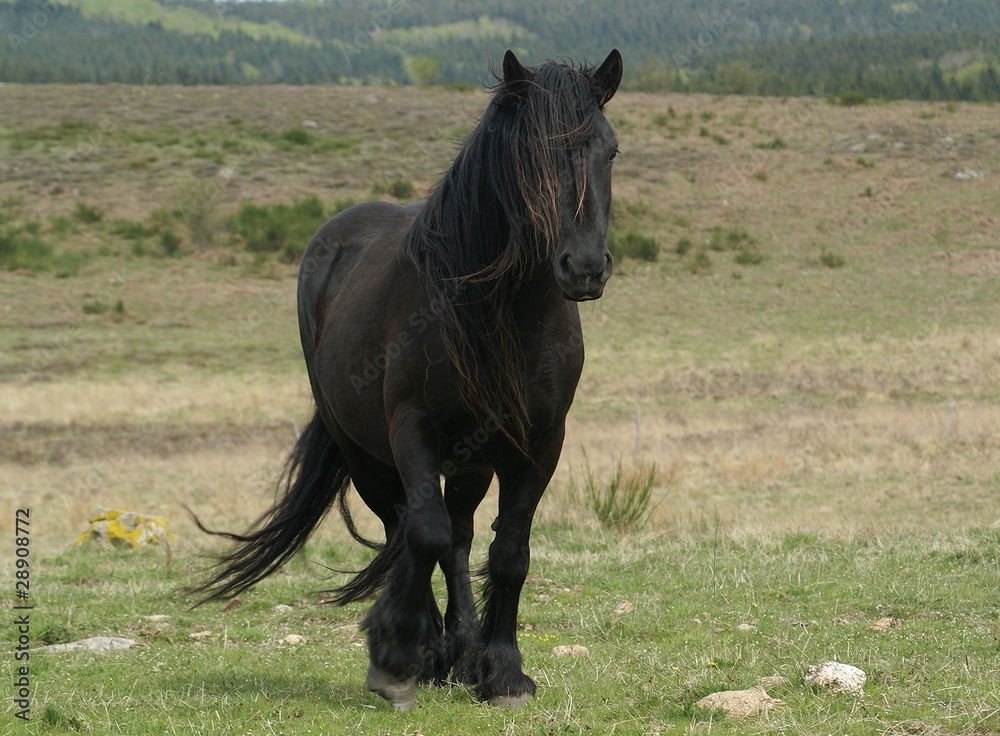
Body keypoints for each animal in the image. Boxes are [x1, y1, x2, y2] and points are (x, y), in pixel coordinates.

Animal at [190, 48, 623, 711]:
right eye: (528, 155)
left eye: (610, 150)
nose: (584, 267)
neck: (505, 314)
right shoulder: (412, 429)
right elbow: (425, 534)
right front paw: (396, 659)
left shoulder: (540, 442)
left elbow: (509, 553)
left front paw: (504, 672)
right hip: (367, 455)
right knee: (409, 531)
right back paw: (428, 652)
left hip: (471, 459)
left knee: (461, 536)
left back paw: (462, 655)